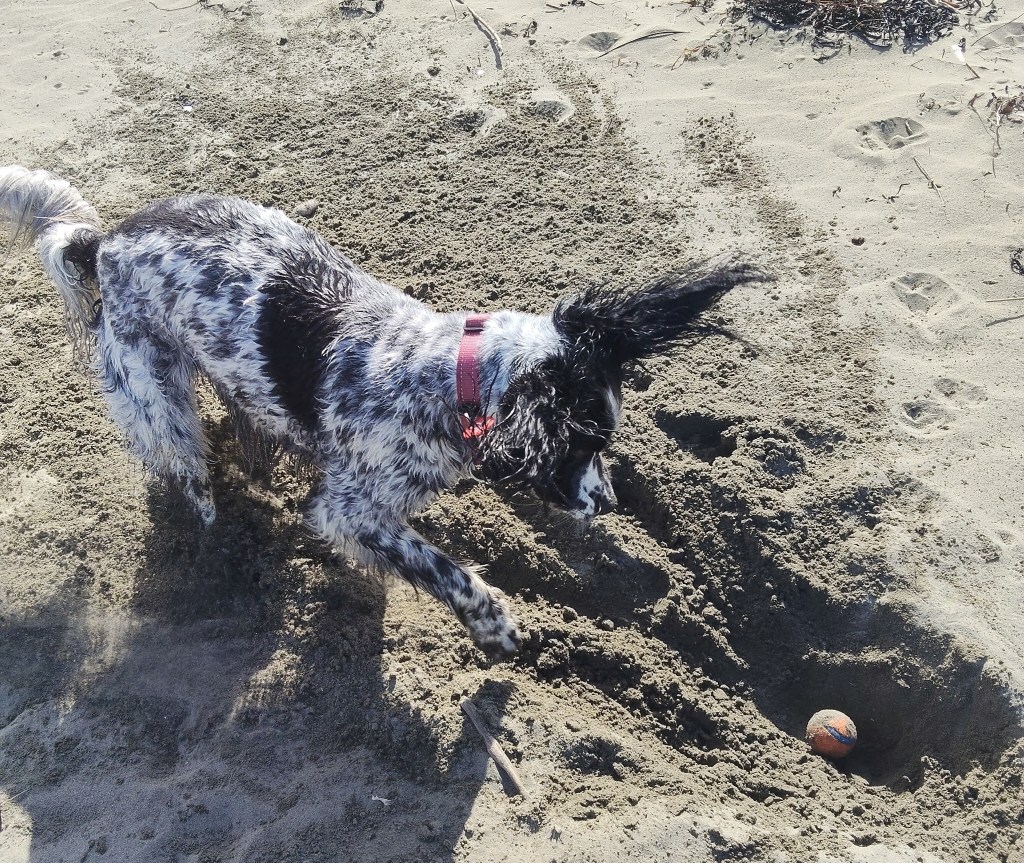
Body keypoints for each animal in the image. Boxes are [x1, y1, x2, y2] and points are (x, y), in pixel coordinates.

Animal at [0, 166, 765, 658]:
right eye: (583, 442)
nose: (606, 503)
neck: (448, 372)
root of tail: (102, 242)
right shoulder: (350, 508)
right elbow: (444, 568)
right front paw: (494, 625)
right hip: (157, 400)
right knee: (190, 477)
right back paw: (221, 542)